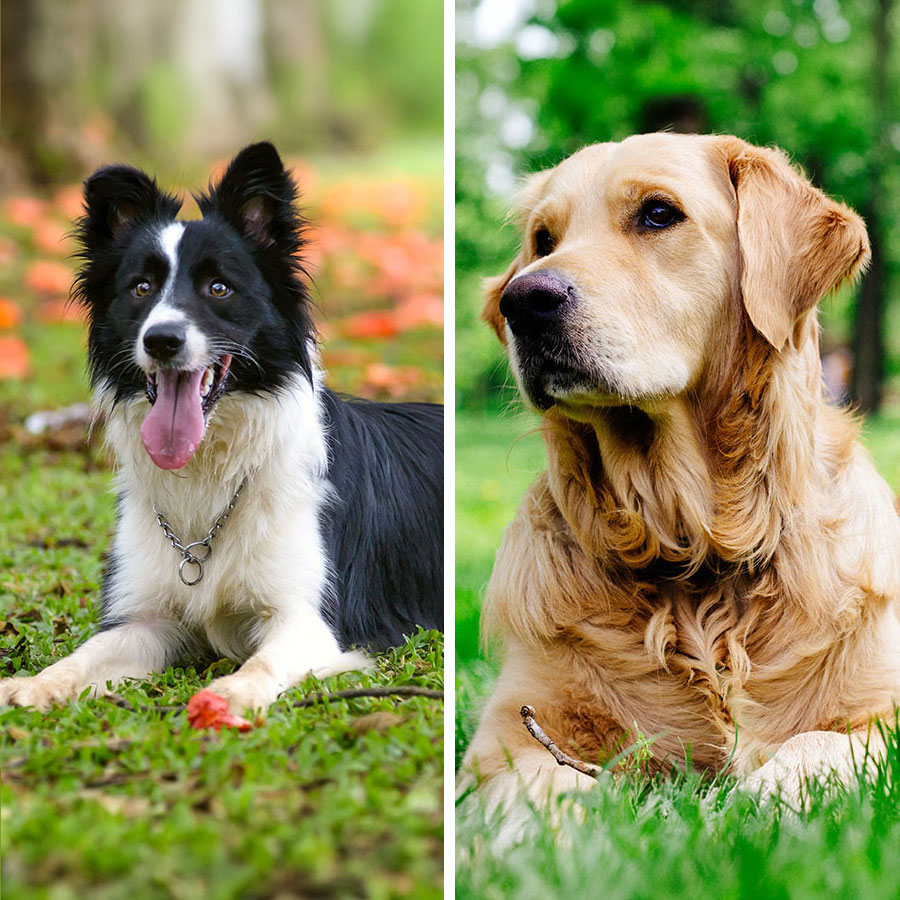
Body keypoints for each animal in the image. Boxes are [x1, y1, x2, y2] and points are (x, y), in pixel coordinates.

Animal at [460, 130, 900, 832]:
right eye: (543, 239)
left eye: (658, 214)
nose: (523, 301)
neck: (695, 549)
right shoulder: (509, 732)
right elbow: (540, 785)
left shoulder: (877, 712)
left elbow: (819, 743)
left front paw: (765, 802)